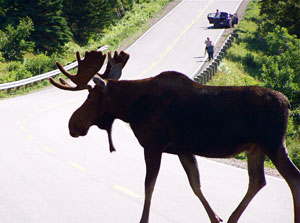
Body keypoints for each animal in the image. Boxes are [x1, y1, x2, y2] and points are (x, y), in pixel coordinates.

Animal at [49, 50, 300, 223]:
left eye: (91, 99)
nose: (72, 124)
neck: (132, 108)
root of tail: (288, 104)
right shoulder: (183, 149)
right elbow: (195, 185)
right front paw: (215, 218)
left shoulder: (153, 145)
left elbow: (149, 186)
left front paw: (143, 220)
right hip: (255, 148)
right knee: (257, 181)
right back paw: (231, 218)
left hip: (273, 144)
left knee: (293, 178)